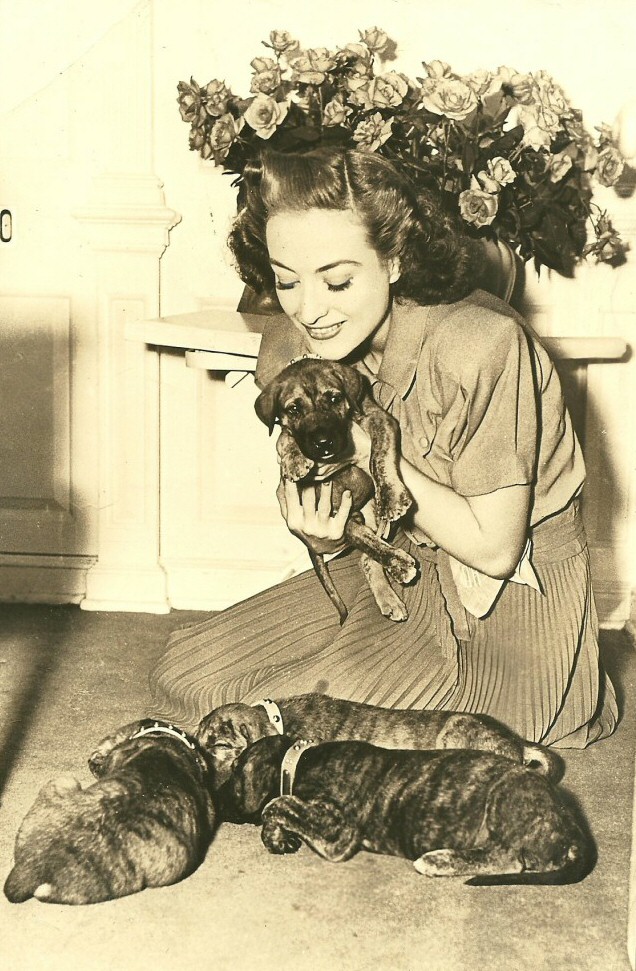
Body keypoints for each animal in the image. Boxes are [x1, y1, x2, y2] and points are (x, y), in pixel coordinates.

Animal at [216, 736, 592, 888]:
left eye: (234, 770)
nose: (214, 798)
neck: (299, 762)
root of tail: (573, 830)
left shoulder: (338, 834)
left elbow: (275, 804)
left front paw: (274, 830)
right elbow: (278, 808)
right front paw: (278, 838)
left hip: (504, 795)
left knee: (509, 858)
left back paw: (438, 860)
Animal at [256, 356, 420, 624]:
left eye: (334, 399)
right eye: (293, 409)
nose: (324, 443)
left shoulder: (378, 418)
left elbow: (378, 457)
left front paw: (391, 496)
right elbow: (284, 436)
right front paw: (294, 459)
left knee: (367, 553)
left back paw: (392, 584)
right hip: (344, 519)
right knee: (367, 547)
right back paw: (397, 568)